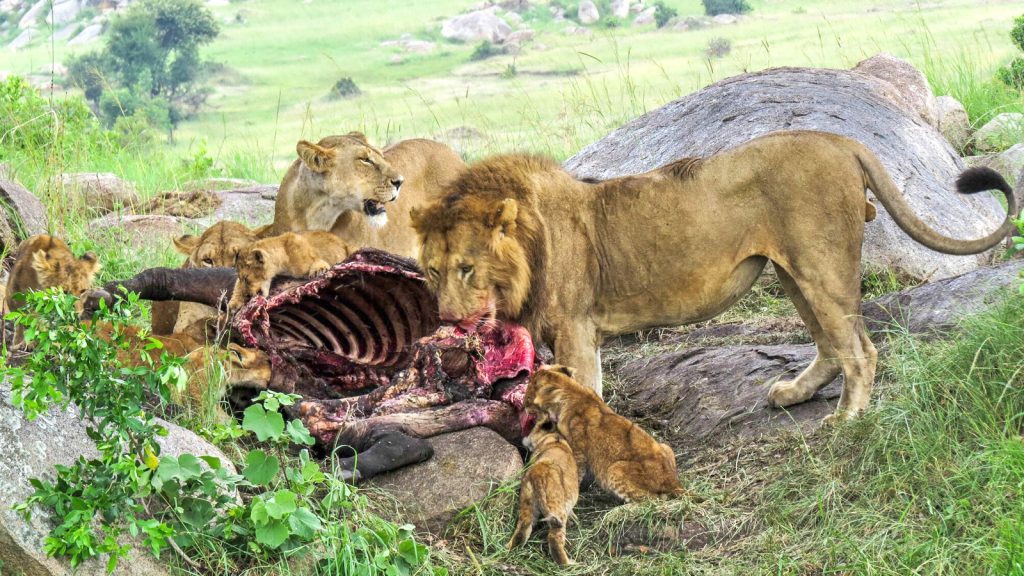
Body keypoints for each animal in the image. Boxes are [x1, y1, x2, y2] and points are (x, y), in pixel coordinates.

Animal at [411, 130, 1017, 422]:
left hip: (819, 264)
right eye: (432, 270)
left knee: (860, 349)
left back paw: (848, 418)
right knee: (831, 343)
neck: (530, 248)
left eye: (468, 268)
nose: (446, 318)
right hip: (792, 270)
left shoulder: (577, 330)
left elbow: (579, 402)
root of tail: (838, 140)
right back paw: (794, 394)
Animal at [507, 412, 580, 565]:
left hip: (527, 501)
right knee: (554, 539)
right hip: (556, 508)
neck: (553, 437)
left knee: (522, 530)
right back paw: (569, 564)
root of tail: (538, 472)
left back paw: (509, 550)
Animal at [524, 365, 683, 502]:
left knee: (655, 500)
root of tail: (674, 482)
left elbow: (576, 472)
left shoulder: (578, 452)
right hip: (665, 446)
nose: (523, 406)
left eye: (527, 397)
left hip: (614, 469)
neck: (572, 390)